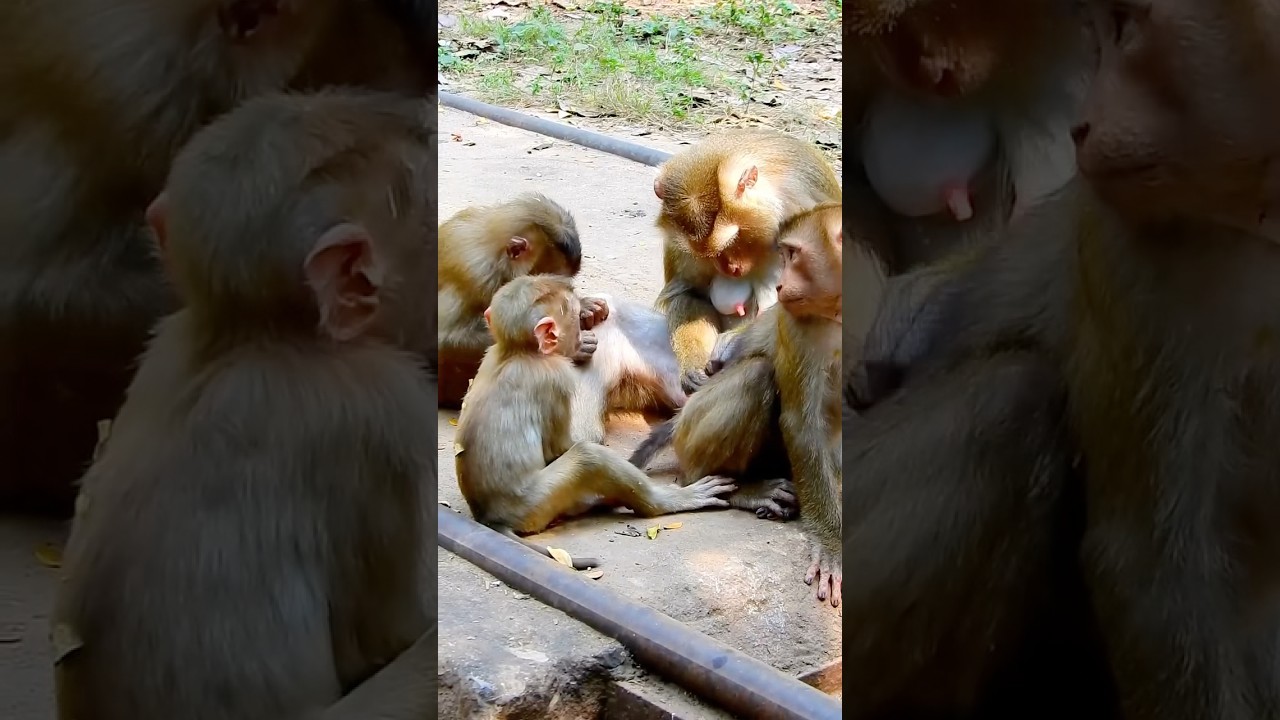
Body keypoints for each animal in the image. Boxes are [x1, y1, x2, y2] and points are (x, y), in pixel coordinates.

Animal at [455, 275, 737, 570]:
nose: (578, 334)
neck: (517, 352)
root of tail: (492, 517)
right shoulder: (556, 379)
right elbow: (562, 447)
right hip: (536, 505)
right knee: (588, 457)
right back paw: (667, 501)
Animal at [651, 129, 842, 392]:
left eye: (733, 239)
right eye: (708, 255)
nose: (731, 268)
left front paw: (733, 342)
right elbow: (691, 294)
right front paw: (694, 365)